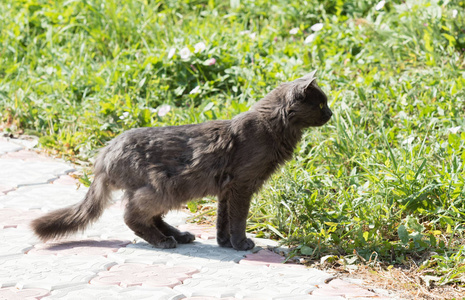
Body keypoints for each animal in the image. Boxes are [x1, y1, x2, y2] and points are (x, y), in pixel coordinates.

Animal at [30, 71, 332, 251]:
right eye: (320, 104)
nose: (330, 113)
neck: (272, 127)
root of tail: (105, 154)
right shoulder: (242, 185)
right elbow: (238, 218)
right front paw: (241, 243)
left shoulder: (226, 189)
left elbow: (223, 218)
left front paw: (224, 243)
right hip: (162, 188)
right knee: (132, 215)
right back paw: (164, 241)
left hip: (166, 191)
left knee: (151, 216)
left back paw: (179, 235)